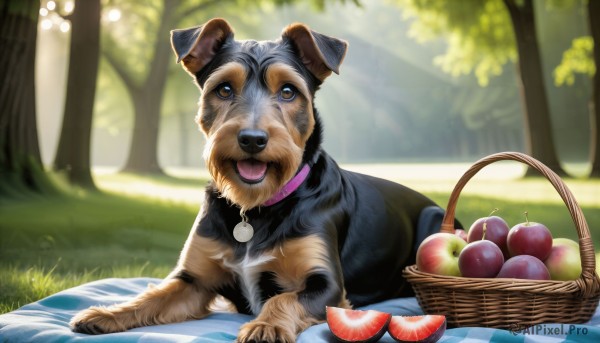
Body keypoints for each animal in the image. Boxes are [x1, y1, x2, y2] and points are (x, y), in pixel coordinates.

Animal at [70, 18, 448, 343]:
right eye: (223, 89)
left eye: (288, 91)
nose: (252, 139)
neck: (256, 206)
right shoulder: (193, 280)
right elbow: (153, 295)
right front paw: (108, 313)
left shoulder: (326, 286)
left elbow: (282, 299)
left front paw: (266, 326)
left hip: (433, 220)